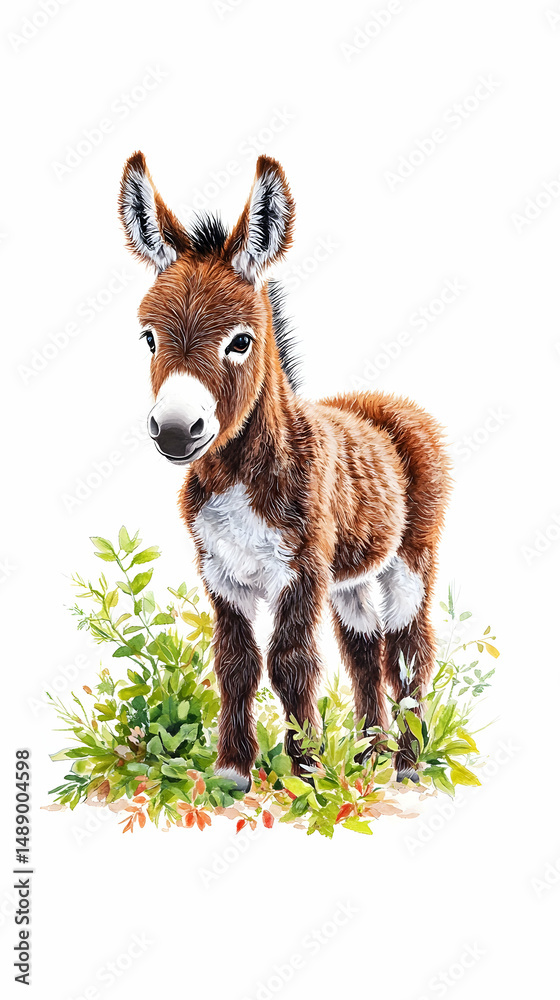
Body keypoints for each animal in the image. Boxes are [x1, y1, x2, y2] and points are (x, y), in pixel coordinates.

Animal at [118, 151, 452, 790]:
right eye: (148, 338)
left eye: (240, 341)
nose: (174, 430)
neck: (237, 479)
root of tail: (386, 403)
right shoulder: (221, 573)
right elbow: (237, 664)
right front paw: (232, 773)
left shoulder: (302, 573)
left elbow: (291, 664)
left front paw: (307, 777)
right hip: (350, 576)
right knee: (364, 654)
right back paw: (369, 757)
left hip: (410, 559)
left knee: (409, 653)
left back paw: (406, 766)